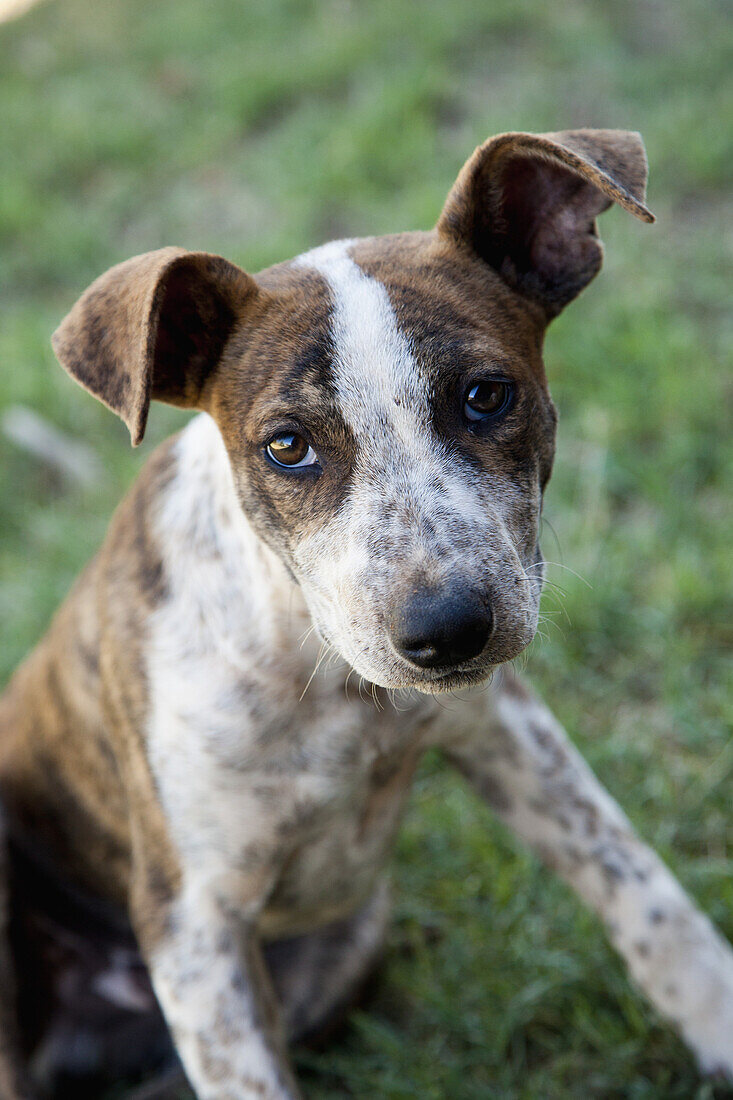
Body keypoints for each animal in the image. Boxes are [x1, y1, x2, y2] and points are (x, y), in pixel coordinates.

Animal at [1, 130, 730, 1100]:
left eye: (486, 395)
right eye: (287, 446)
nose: (447, 631)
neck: (320, 668)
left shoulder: (508, 734)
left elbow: (640, 887)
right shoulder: (194, 928)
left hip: (347, 942)